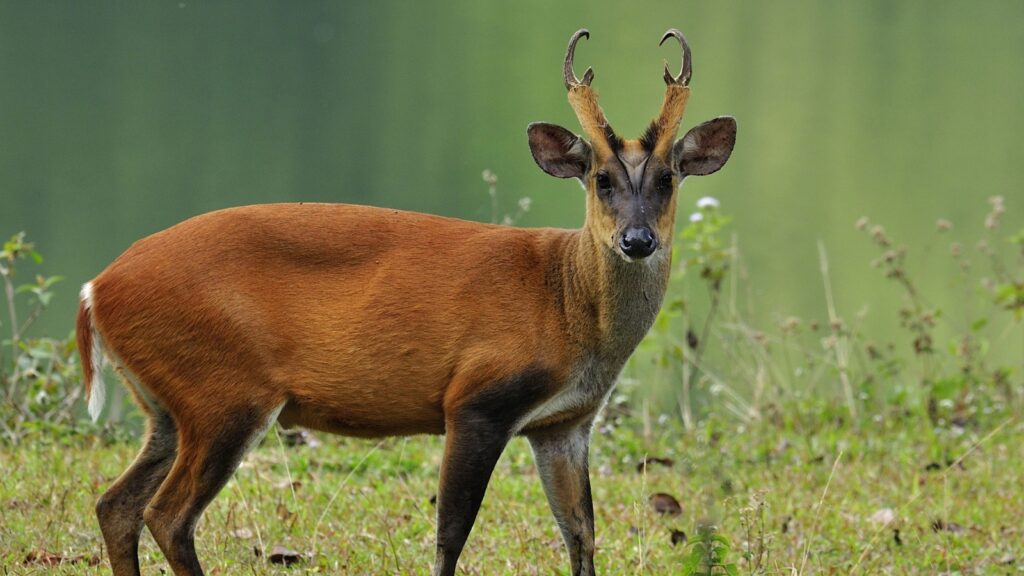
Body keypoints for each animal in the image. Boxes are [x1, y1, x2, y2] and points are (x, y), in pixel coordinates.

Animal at [79, 28, 737, 573]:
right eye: (600, 178)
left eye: (667, 179)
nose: (637, 240)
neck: (565, 302)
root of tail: (97, 289)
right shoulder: (476, 398)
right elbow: (451, 534)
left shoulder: (564, 423)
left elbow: (581, 535)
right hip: (224, 390)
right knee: (167, 515)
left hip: (170, 405)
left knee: (116, 504)